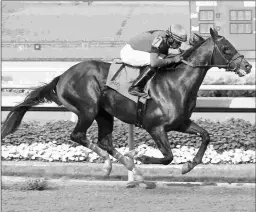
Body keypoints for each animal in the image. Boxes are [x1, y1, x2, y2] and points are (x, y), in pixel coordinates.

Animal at [2, 28, 252, 183]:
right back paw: (117, 165)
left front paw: (189, 165)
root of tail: (62, 75)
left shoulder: (181, 122)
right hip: (88, 109)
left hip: (104, 114)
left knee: (104, 141)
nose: (248, 66)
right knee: (78, 136)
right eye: (227, 48)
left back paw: (131, 171)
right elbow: (168, 156)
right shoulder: (155, 127)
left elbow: (206, 136)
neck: (176, 83)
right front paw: (143, 156)